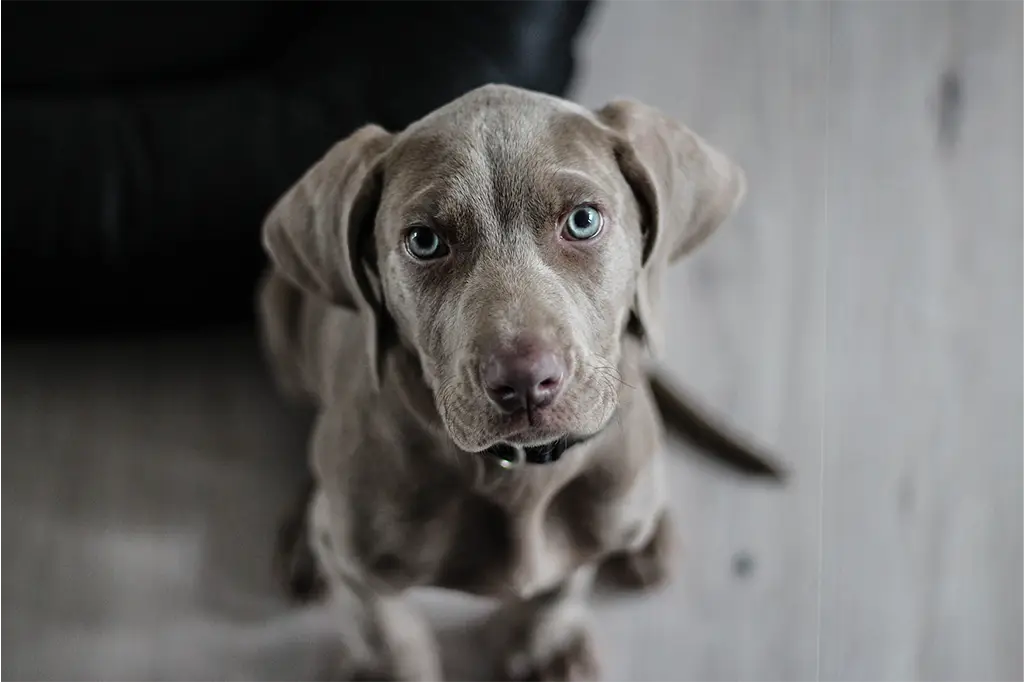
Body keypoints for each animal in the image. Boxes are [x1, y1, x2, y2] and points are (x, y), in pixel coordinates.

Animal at [256, 84, 782, 679]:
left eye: (583, 221)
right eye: (424, 241)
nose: (526, 382)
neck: (518, 475)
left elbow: (562, 585)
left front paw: (544, 648)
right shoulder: (360, 569)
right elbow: (385, 633)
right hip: (278, 314)